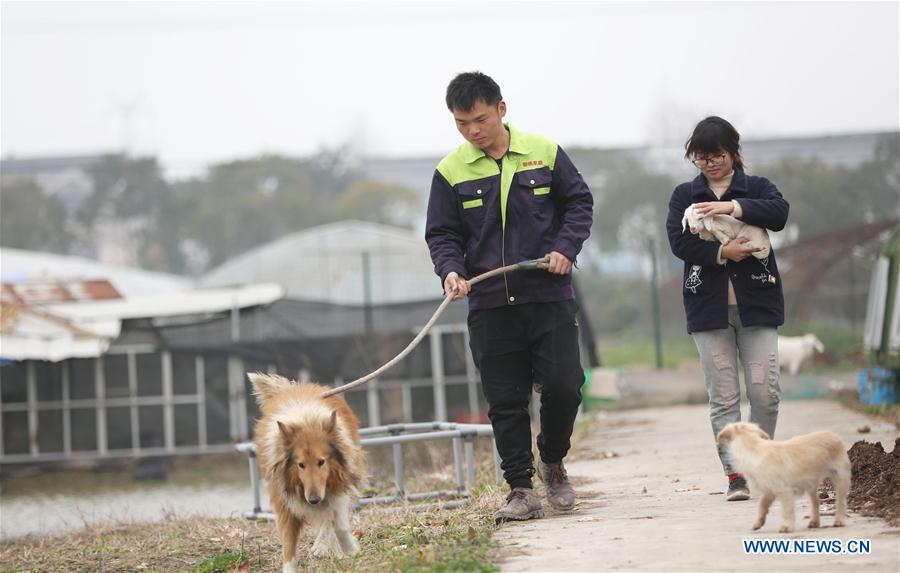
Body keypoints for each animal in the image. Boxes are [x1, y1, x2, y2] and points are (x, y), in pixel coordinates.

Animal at [248, 374, 364, 568]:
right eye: (300, 465)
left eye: (321, 462)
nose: (314, 500)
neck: (307, 422)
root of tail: (290, 387)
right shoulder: (285, 501)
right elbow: (288, 547)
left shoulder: (338, 485)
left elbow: (337, 523)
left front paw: (348, 547)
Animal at [712, 420, 848, 532]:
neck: (753, 448)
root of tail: (834, 435)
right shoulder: (769, 491)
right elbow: (762, 505)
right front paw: (758, 522)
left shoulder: (784, 491)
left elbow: (787, 510)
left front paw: (787, 526)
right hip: (811, 483)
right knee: (816, 501)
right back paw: (814, 522)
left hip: (840, 476)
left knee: (841, 501)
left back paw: (839, 520)